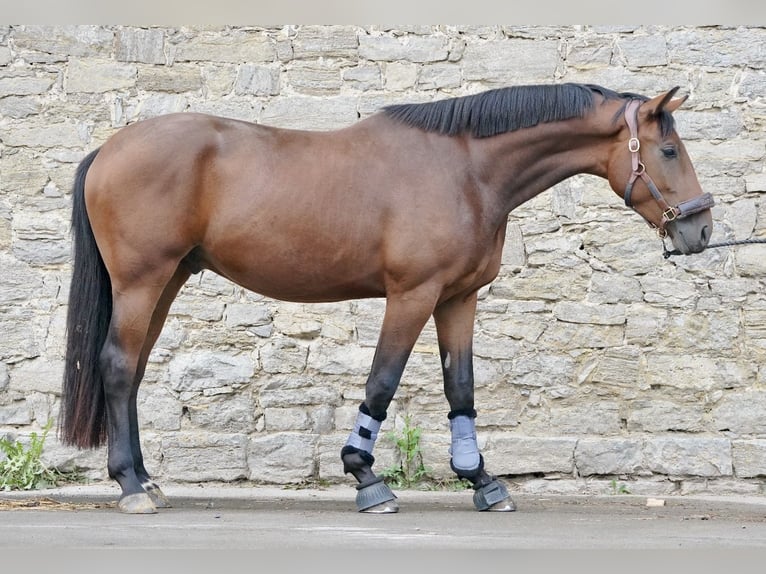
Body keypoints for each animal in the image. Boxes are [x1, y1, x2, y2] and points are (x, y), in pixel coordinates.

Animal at [58, 82, 712, 516]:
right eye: (669, 151)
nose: (701, 231)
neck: (465, 168)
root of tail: (108, 151)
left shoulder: (458, 299)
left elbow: (460, 388)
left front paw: (482, 481)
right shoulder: (411, 296)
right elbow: (382, 381)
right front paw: (366, 477)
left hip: (167, 280)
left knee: (134, 369)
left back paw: (146, 479)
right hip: (143, 279)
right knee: (118, 366)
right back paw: (131, 487)